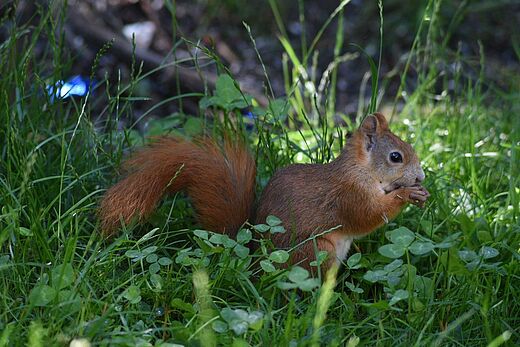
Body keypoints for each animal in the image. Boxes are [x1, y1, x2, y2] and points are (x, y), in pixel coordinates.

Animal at [99, 113, 428, 274]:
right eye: (396, 157)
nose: (421, 176)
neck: (361, 170)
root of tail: (254, 261)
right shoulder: (350, 195)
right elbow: (368, 216)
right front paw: (408, 195)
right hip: (315, 251)